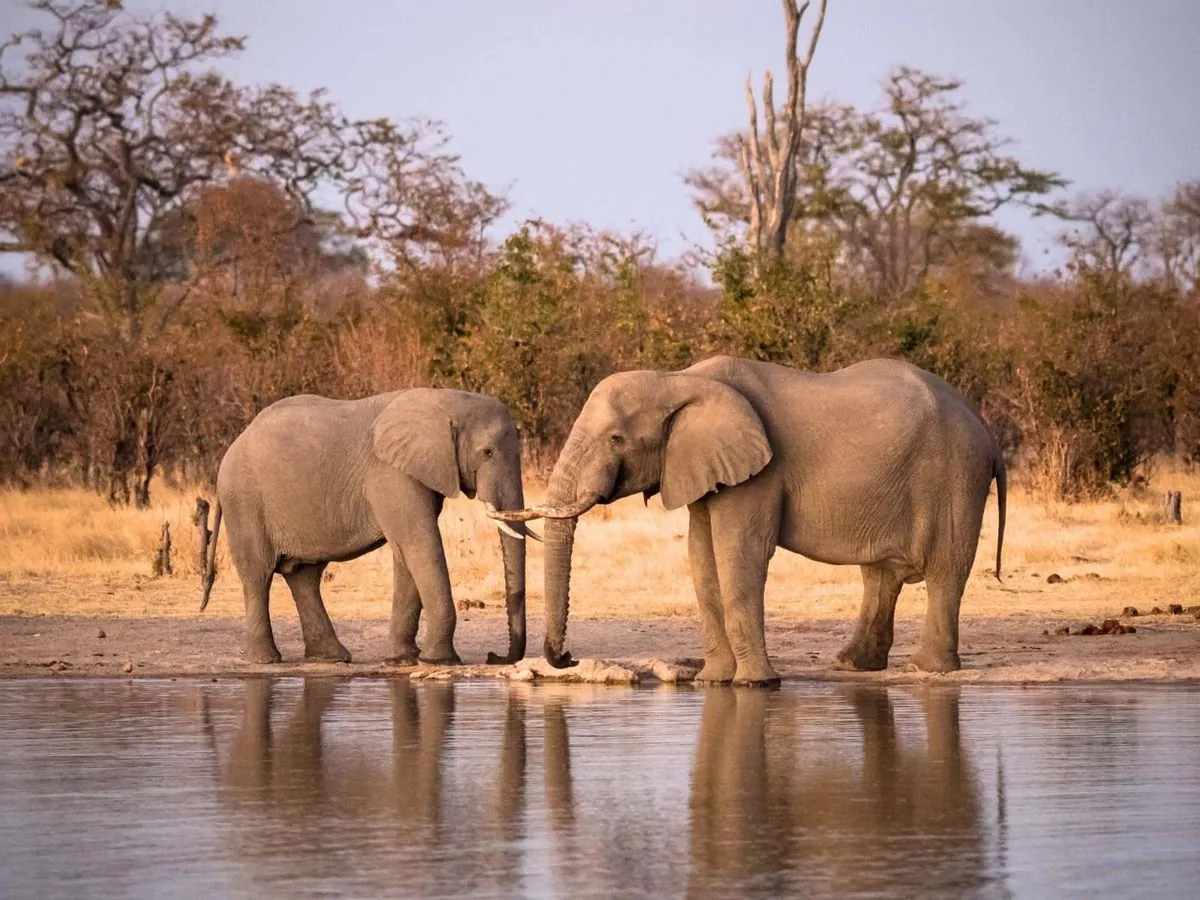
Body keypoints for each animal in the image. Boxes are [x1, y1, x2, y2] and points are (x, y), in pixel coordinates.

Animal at [202, 388, 535, 672]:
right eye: (487, 452)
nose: (495, 656)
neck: (444, 399)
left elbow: (406, 552)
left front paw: (402, 660)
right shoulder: (392, 474)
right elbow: (420, 544)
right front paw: (439, 661)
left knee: (304, 576)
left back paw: (331, 658)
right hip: (244, 501)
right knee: (258, 574)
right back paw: (266, 661)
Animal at [487, 355, 1003, 686]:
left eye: (616, 439)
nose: (567, 657)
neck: (679, 380)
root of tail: (985, 427)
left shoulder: (759, 472)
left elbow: (740, 553)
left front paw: (756, 685)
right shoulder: (701, 467)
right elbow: (701, 557)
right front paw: (714, 683)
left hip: (956, 475)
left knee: (945, 570)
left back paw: (929, 669)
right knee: (881, 576)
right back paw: (854, 666)